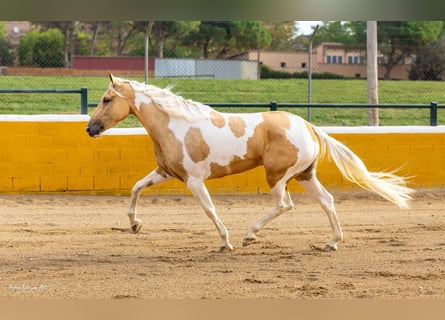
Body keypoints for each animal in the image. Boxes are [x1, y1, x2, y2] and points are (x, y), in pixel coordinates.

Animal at [86, 74, 412, 252]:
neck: (176, 124)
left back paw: (249, 235)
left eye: (106, 99)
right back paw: (331, 242)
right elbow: (136, 188)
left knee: (285, 204)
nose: (90, 129)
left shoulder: (194, 180)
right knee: (327, 201)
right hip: (305, 175)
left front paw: (225, 242)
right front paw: (135, 225)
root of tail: (308, 126)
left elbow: (209, 210)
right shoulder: (166, 172)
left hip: (278, 176)